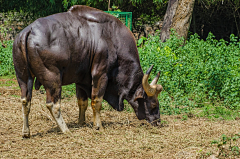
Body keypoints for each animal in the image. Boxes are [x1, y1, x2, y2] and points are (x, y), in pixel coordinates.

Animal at [12, 4, 163, 137]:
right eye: (154, 104)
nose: (158, 121)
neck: (113, 40)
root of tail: (28, 31)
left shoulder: (81, 80)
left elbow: (82, 102)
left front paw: (81, 122)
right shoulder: (100, 75)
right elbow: (96, 101)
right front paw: (98, 126)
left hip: (23, 77)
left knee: (25, 101)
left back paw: (26, 132)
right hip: (52, 78)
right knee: (53, 104)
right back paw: (65, 130)